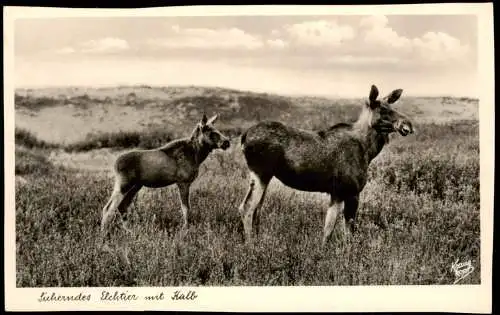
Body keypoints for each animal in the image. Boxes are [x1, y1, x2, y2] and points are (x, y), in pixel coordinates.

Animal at [100, 115, 232, 241]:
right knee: (108, 208)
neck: (197, 155)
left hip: (135, 186)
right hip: (123, 185)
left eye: (217, 129)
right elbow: (186, 209)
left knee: (122, 207)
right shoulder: (183, 182)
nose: (227, 142)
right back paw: (104, 236)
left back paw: (131, 233)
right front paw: (186, 230)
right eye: (211, 132)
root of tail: (115, 164)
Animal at [238, 86, 414, 247]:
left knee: (257, 208)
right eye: (383, 110)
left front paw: (322, 251)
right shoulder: (352, 191)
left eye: (393, 107)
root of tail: (244, 136)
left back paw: (259, 241)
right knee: (247, 207)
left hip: (263, 177)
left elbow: (328, 228)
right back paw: (251, 246)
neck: (368, 151)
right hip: (260, 173)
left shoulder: (336, 193)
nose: (408, 124)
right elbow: (348, 232)